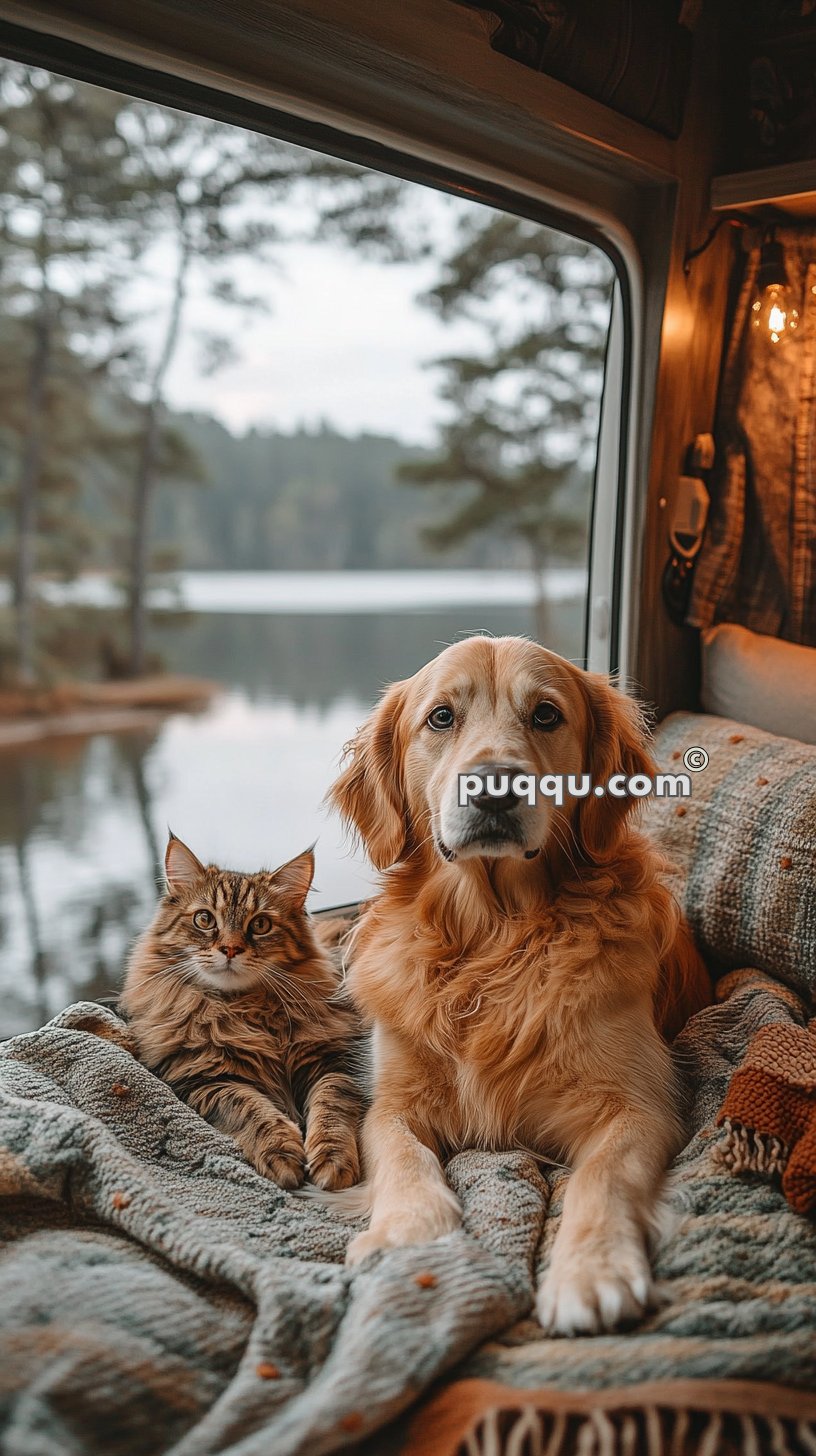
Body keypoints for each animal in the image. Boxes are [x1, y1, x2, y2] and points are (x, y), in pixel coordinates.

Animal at [120, 838, 362, 1188]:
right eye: (204, 920)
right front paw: (282, 1155)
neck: (245, 1009)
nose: (231, 949)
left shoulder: (334, 1062)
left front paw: (332, 1161)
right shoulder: (206, 1080)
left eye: (260, 925)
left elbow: (332, 1107)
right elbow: (251, 1109)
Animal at [327, 631, 711, 1333]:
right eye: (441, 717)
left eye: (546, 715)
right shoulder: (392, 1101)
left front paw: (591, 1271)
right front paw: (408, 1231)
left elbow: (602, 1178)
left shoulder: (642, 1107)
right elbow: (401, 1155)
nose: (494, 787)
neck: (494, 936)